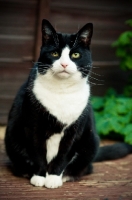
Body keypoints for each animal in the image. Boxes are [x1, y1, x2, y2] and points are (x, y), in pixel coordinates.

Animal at [4, 19, 132, 188]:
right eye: (55, 54)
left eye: (75, 55)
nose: (64, 64)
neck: (62, 90)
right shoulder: (34, 127)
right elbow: (38, 152)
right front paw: (39, 176)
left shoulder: (74, 131)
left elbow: (64, 155)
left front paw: (53, 178)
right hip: (12, 139)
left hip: (91, 142)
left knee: (86, 167)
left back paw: (66, 176)